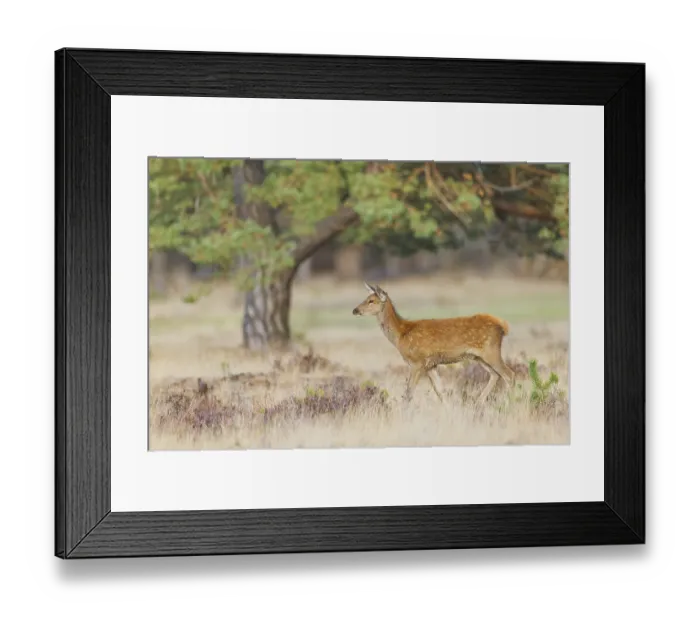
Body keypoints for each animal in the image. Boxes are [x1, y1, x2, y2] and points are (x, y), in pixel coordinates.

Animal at [352, 282, 515, 405]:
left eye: (371, 301)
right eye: (366, 298)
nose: (355, 310)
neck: (401, 334)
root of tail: (503, 326)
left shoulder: (417, 362)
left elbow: (409, 393)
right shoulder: (431, 365)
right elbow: (440, 391)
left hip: (491, 351)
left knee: (509, 374)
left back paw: (507, 403)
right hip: (479, 357)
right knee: (495, 375)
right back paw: (478, 403)